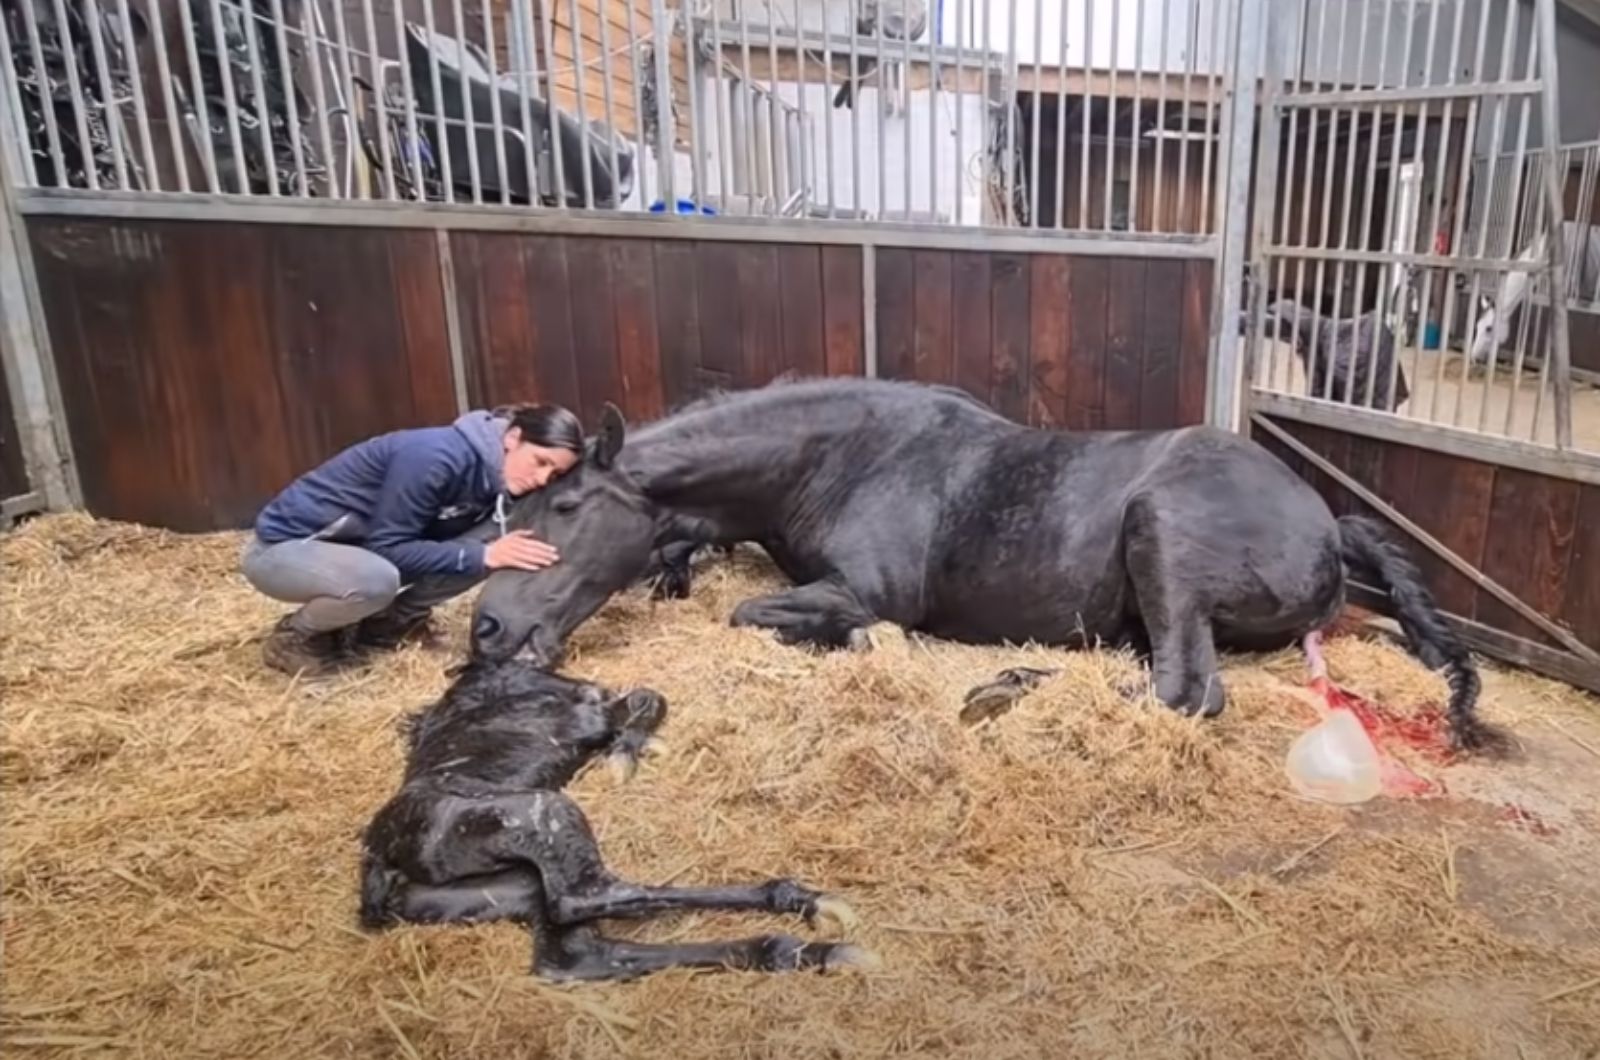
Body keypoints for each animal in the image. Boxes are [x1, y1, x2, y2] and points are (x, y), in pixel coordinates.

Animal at [360, 659, 876, 986]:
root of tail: (380, 861)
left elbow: (648, 698)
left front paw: (626, 752)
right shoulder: (589, 712)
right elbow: (648, 696)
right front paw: (624, 757)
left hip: (508, 887)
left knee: (574, 955)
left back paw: (811, 948)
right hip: (543, 813)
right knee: (585, 897)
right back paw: (809, 910)